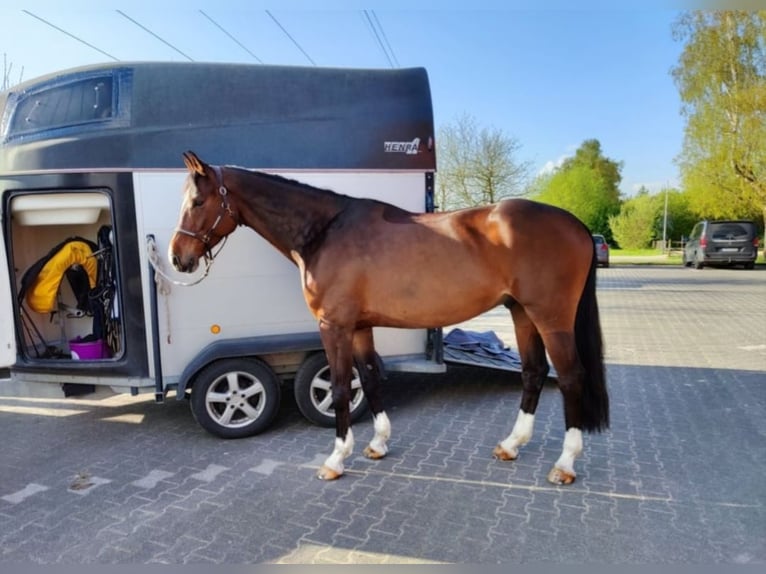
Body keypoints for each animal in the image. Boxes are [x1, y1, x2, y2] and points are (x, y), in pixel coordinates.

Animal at [171, 152, 608, 486]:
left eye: (197, 202)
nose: (178, 257)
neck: (325, 231)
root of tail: (576, 224)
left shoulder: (334, 326)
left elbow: (341, 389)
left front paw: (335, 460)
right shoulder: (361, 326)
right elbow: (368, 378)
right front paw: (377, 444)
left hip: (550, 317)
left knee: (571, 377)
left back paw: (564, 465)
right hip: (521, 312)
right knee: (533, 372)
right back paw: (511, 445)